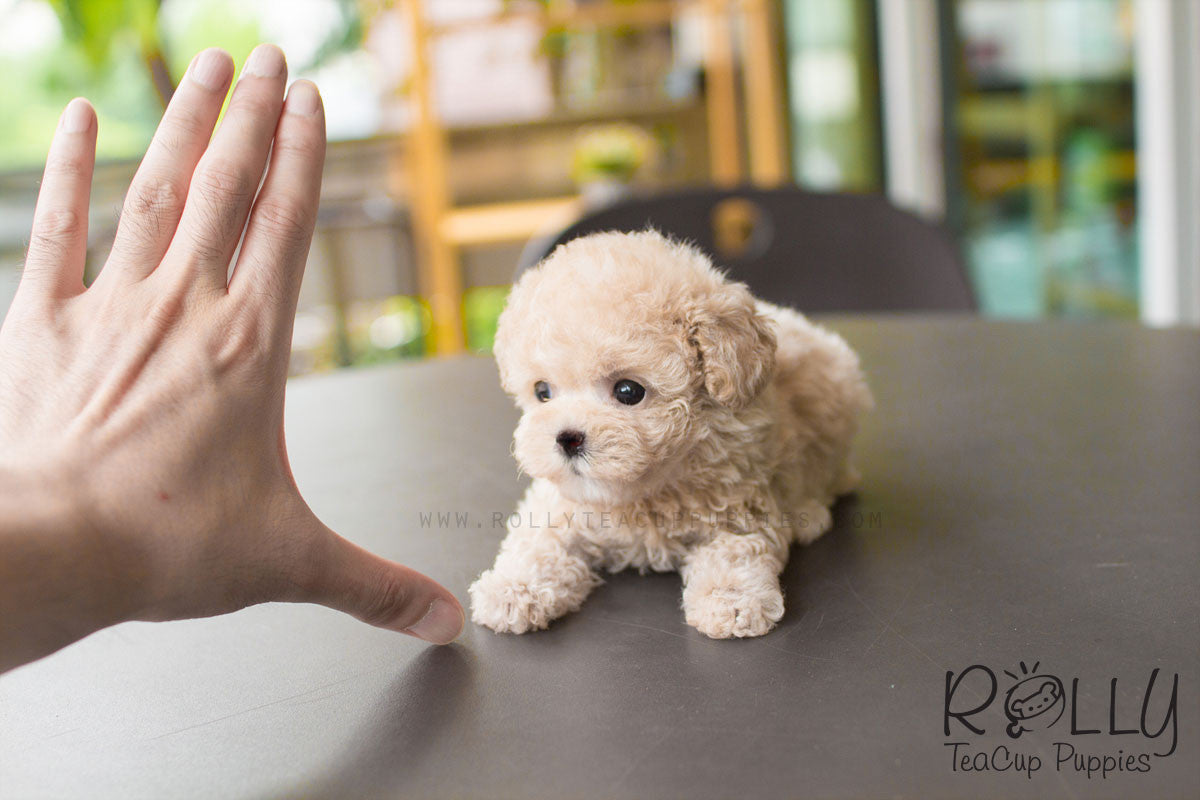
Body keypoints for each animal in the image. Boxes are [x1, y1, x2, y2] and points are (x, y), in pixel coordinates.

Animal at [468, 230, 873, 638]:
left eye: (628, 391)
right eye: (542, 392)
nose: (567, 438)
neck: (646, 494)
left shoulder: (742, 500)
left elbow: (735, 549)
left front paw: (731, 600)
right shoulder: (558, 504)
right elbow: (536, 541)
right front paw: (514, 589)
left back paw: (810, 512)